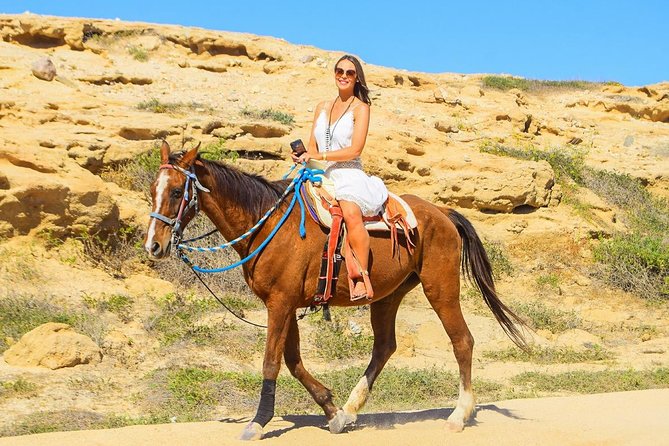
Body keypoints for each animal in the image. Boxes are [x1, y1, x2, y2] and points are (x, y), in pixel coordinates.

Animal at [144, 141, 527, 440]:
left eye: (177, 192)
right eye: (152, 191)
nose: (153, 245)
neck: (268, 223)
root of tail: (443, 212)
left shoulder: (279, 303)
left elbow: (272, 362)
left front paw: (258, 421)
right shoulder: (285, 304)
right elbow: (293, 361)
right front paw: (331, 409)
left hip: (441, 288)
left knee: (462, 341)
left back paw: (459, 414)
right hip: (388, 295)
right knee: (384, 347)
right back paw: (351, 408)